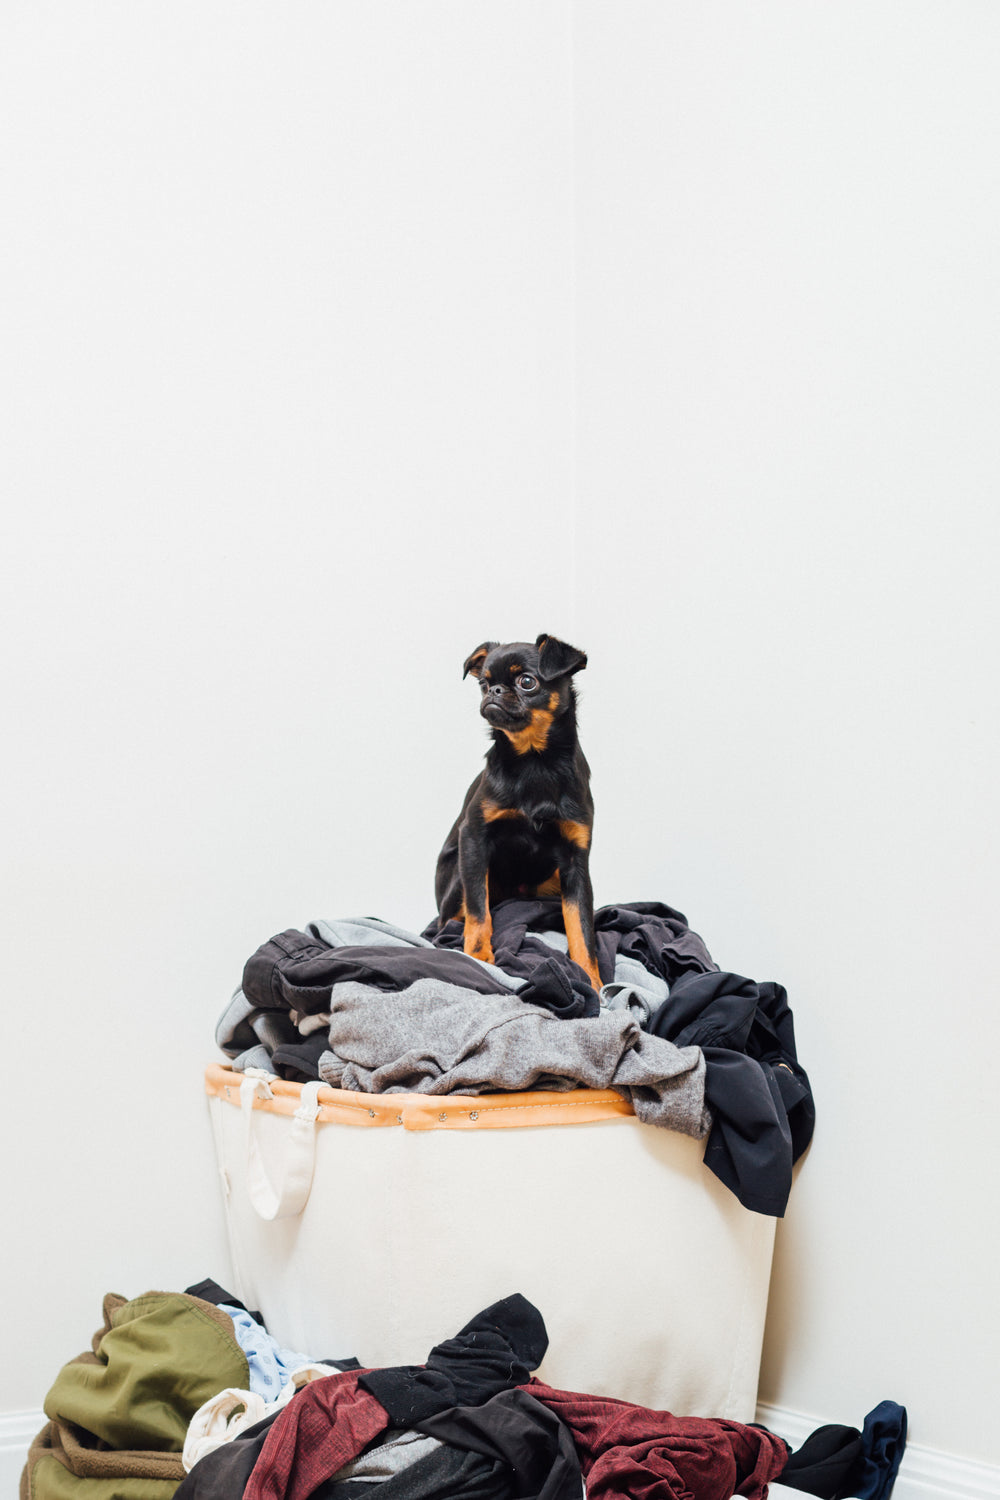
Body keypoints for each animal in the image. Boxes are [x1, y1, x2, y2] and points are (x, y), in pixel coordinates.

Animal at [431, 627, 602, 990]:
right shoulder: (474, 838)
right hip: (459, 875)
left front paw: (592, 980)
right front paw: (479, 956)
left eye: (527, 682)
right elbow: (478, 910)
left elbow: (581, 925)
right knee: (449, 920)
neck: (534, 760)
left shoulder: (576, 860)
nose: (494, 691)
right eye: (483, 683)